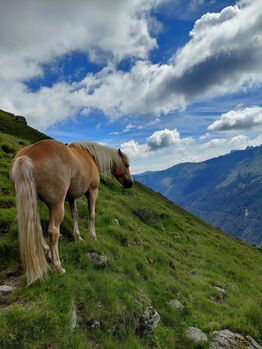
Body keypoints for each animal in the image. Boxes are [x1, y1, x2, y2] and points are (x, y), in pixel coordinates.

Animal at [10, 139, 133, 282]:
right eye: (126, 165)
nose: (131, 183)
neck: (90, 156)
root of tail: (27, 154)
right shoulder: (92, 191)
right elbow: (91, 215)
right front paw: (93, 237)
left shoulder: (71, 197)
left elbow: (75, 215)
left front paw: (77, 236)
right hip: (57, 205)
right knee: (53, 232)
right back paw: (57, 266)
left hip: (33, 201)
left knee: (35, 226)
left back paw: (47, 251)